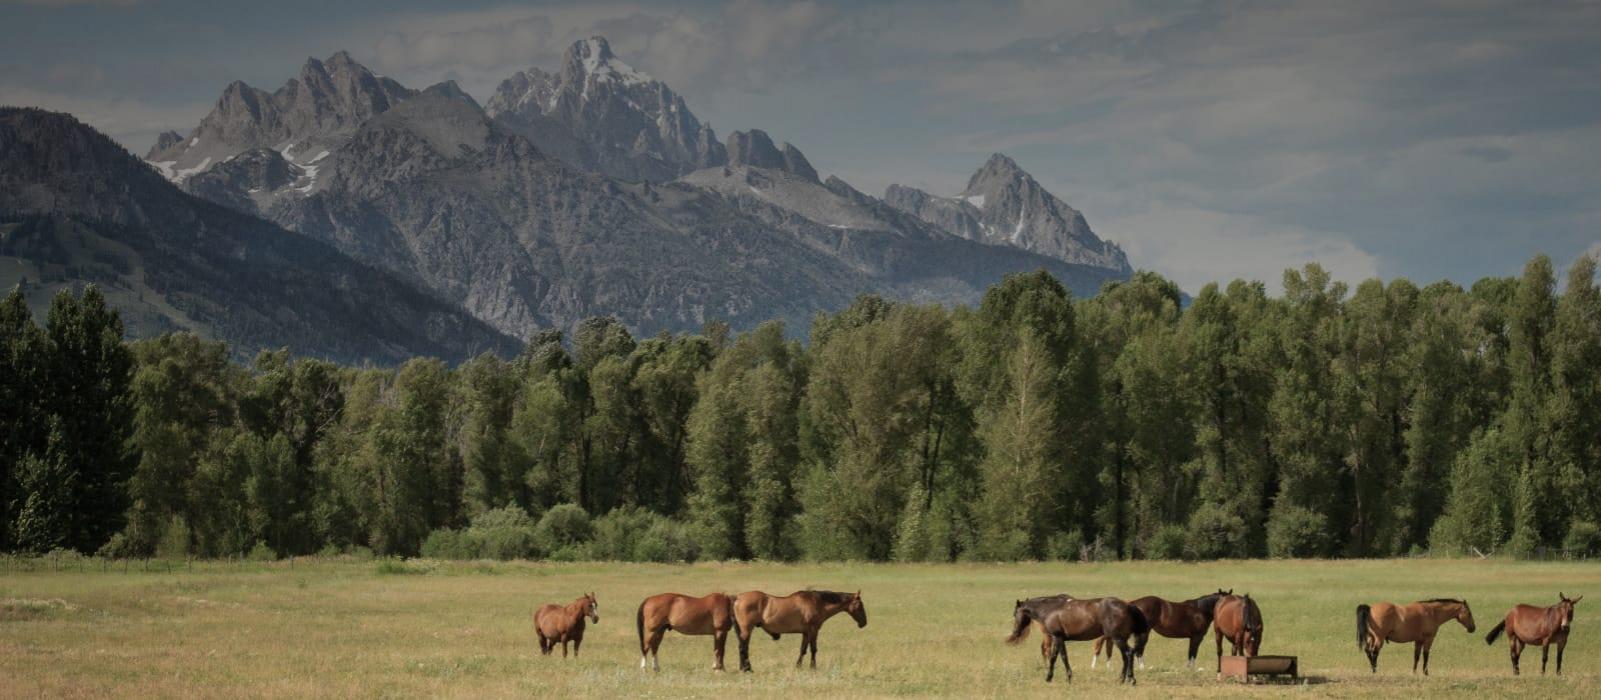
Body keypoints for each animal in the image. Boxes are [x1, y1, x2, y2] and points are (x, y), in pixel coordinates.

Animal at [733, 589, 870, 669]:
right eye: (860, 605)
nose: (864, 623)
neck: (818, 602)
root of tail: (737, 598)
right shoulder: (813, 630)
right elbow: (813, 649)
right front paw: (813, 667)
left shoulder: (806, 633)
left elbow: (803, 650)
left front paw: (798, 666)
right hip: (747, 630)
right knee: (743, 648)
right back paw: (747, 669)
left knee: (743, 648)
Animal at [1005, 592, 1146, 685]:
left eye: (1015, 613)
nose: (1015, 632)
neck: (1050, 609)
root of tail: (1128, 606)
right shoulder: (1058, 639)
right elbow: (1055, 658)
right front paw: (1051, 678)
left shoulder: (1057, 638)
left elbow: (1061, 657)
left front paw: (1066, 678)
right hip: (1121, 639)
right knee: (1127, 656)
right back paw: (1124, 679)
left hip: (1117, 638)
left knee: (1128, 653)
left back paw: (1129, 679)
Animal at [1088, 586, 1235, 669]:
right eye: (1223, 600)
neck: (1200, 610)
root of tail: (1131, 604)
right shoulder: (1196, 637)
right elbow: (1193, 653)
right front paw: (1191, 669)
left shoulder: (1192, 637)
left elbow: (1190, 653)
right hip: (1143, 633)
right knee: (1139, 650)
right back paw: (1142, 667)